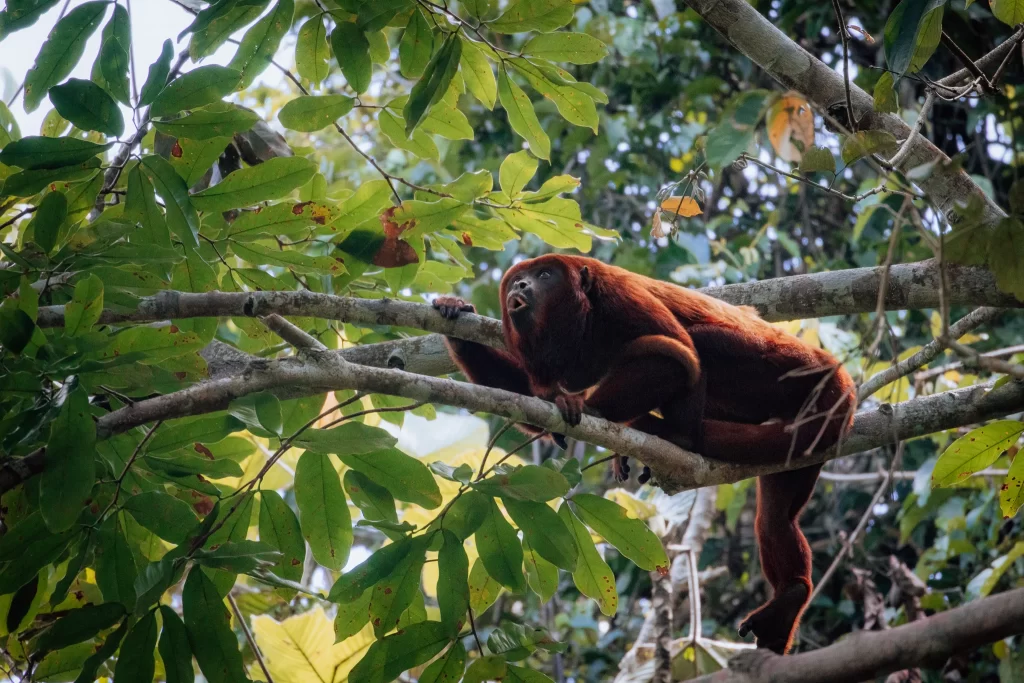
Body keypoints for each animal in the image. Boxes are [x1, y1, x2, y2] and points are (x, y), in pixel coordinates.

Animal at [432, 253, 856, 655]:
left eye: (545, 276)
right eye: (519, 279)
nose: (519, 284)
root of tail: (842, 382)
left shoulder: (621, 297)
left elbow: (677, 356)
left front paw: (586, 406)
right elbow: (532, 395)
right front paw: (456, 314)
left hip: (789, 373)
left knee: (697, 343)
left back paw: (675, 433)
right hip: (802, 447)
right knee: (775, 519)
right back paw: (792, 595)